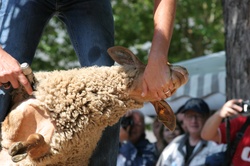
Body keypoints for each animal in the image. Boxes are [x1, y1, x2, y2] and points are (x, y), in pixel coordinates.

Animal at [0, 46, 188, 165]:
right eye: (164, 66)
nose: (185, 71)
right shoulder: (14, 120)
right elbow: (18, 135)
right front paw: (18, 148)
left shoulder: (53, 152)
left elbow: (37, 140)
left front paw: (19, 150)